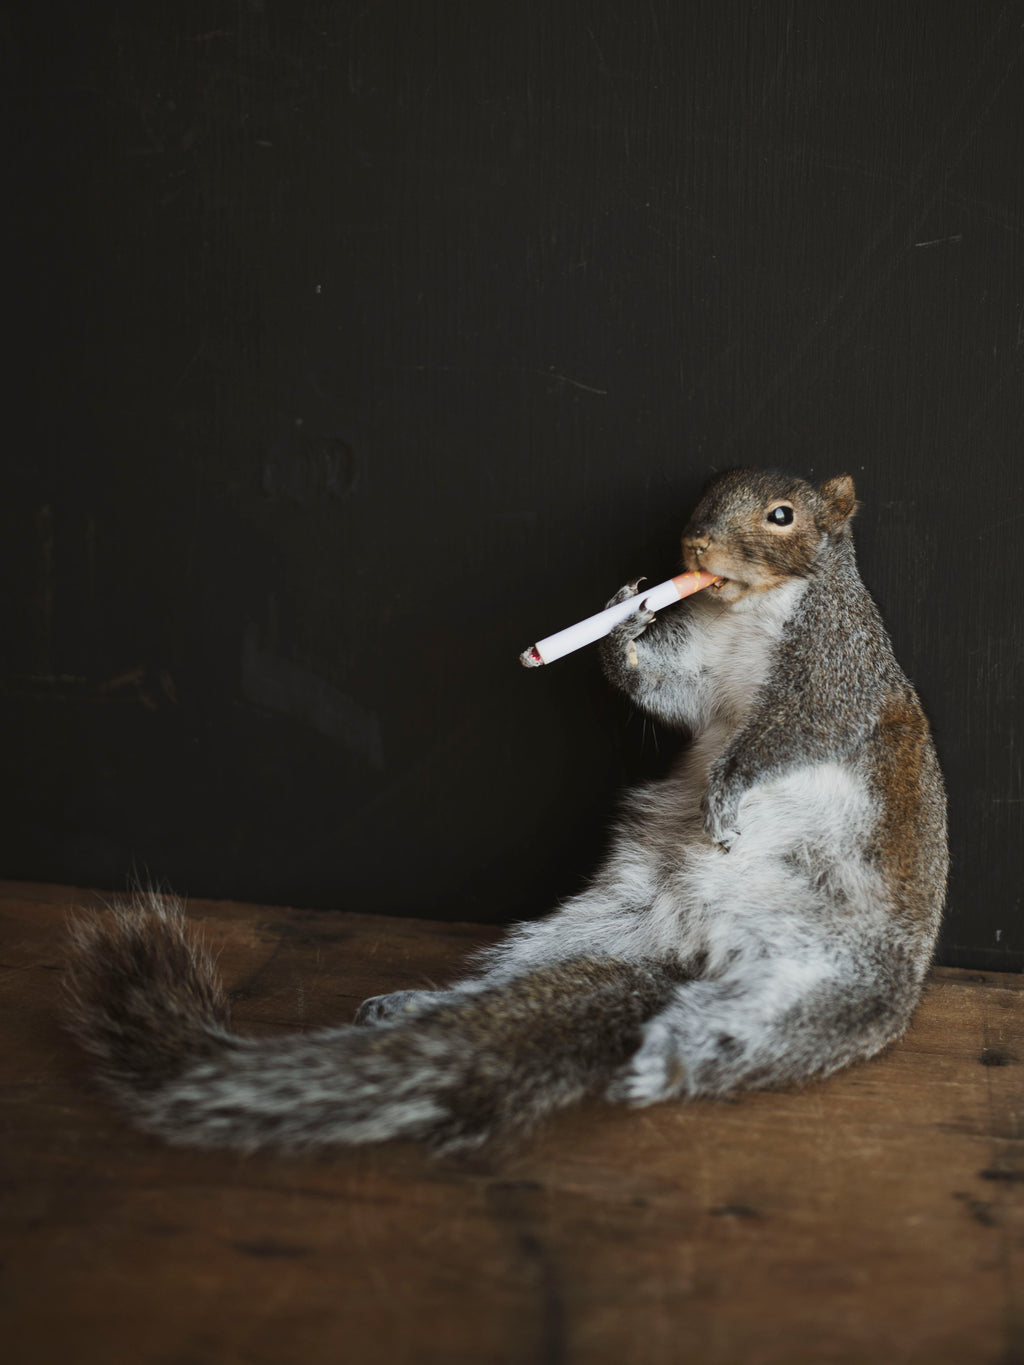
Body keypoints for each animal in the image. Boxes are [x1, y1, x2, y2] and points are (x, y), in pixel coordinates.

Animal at [66, 468, 947, 1154]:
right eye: (705, 496)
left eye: (782, 515)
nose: (694, 547)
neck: (748, 610)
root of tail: (703, 952)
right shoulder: (702, 670)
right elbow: (670, 692)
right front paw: (623, 619)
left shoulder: (834, 673)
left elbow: (782, 737)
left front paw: (726, 791)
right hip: (611, 919)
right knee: (525, 969)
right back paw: (416, 1006)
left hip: (827, 980)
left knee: (751, 1028)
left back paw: (667, 1058)